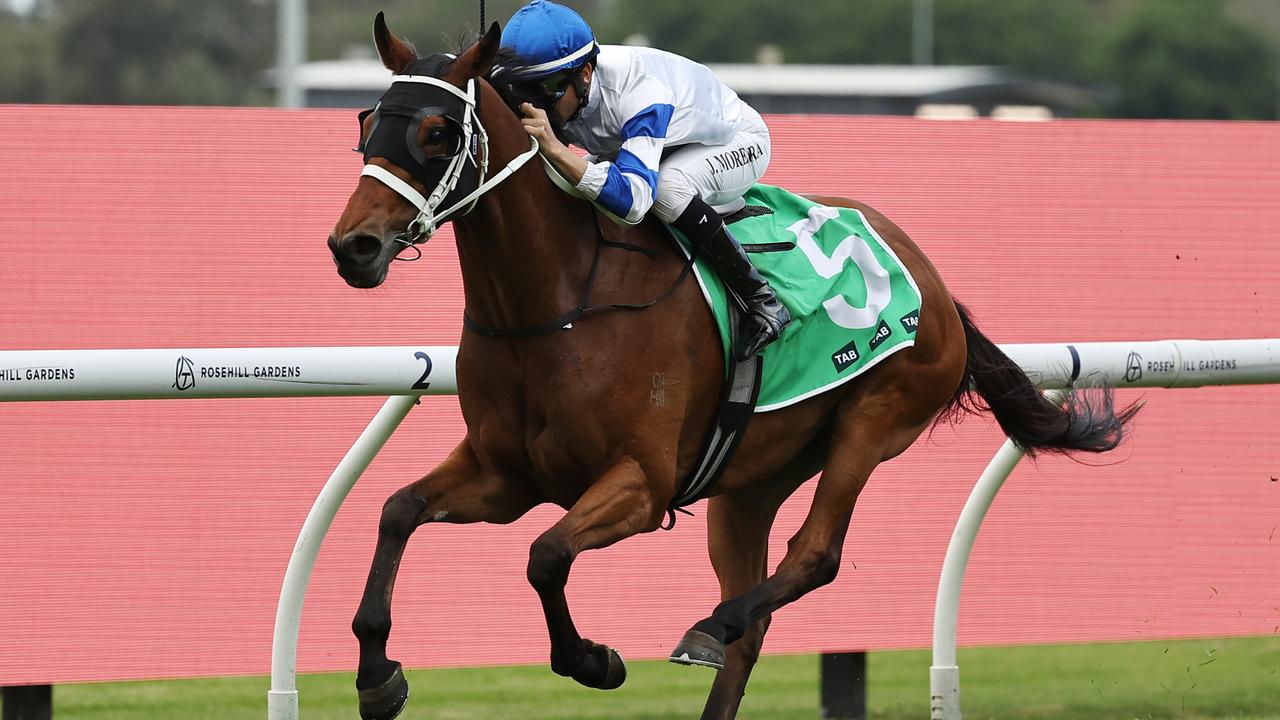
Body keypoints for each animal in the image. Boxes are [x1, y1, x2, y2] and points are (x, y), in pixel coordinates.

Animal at [325, 14, 1136, 712]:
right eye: (368, 122)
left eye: (435, 131)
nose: (353, 247)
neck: (558, 301)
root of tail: (933, 283)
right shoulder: (506, 475)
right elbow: (397, 511)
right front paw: (376, 677)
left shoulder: (640, 483)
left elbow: (546, 556)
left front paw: (594, 660)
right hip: (751, 480)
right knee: (754, 622)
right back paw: (722, 632)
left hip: (873, 418)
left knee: (813, 556)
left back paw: (710, 624)